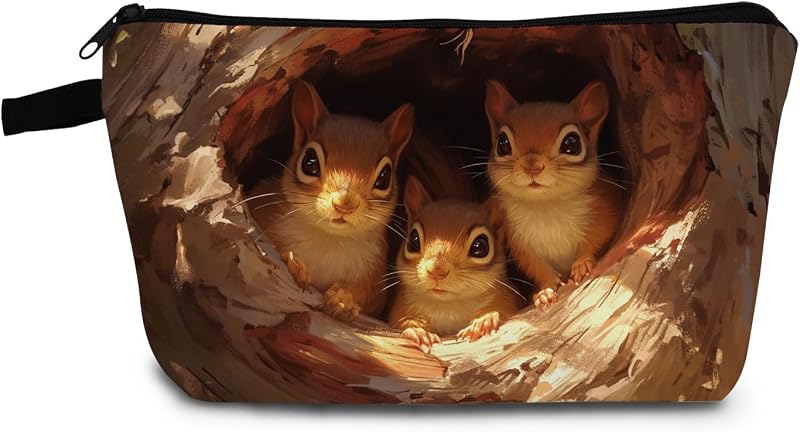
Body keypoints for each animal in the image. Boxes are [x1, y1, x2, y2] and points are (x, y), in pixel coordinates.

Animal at [247, 80, 414, 321]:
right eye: (309, 162)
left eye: (385, 177)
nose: (345, 203)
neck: (330, 239)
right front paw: (294, 264)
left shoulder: (374, 273)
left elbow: (370, 297)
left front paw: (344, 299)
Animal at [388, 176, 523, 353]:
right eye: (413, 241)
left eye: (480, 246)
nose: (436, 271)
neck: (448, 307)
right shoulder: (402, 305)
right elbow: (402, 320)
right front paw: (418, 331)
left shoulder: (505, 298)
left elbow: (503, 310)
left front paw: (483, 321)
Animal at [483, 80, 623, 308]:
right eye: (502, 143)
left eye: (572, 143)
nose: (532, 167)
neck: (545, 204)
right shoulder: (518, 239)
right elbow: (535, 265)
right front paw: (544, 292)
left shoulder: (604, 206)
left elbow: (598, 235)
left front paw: (582, 264)